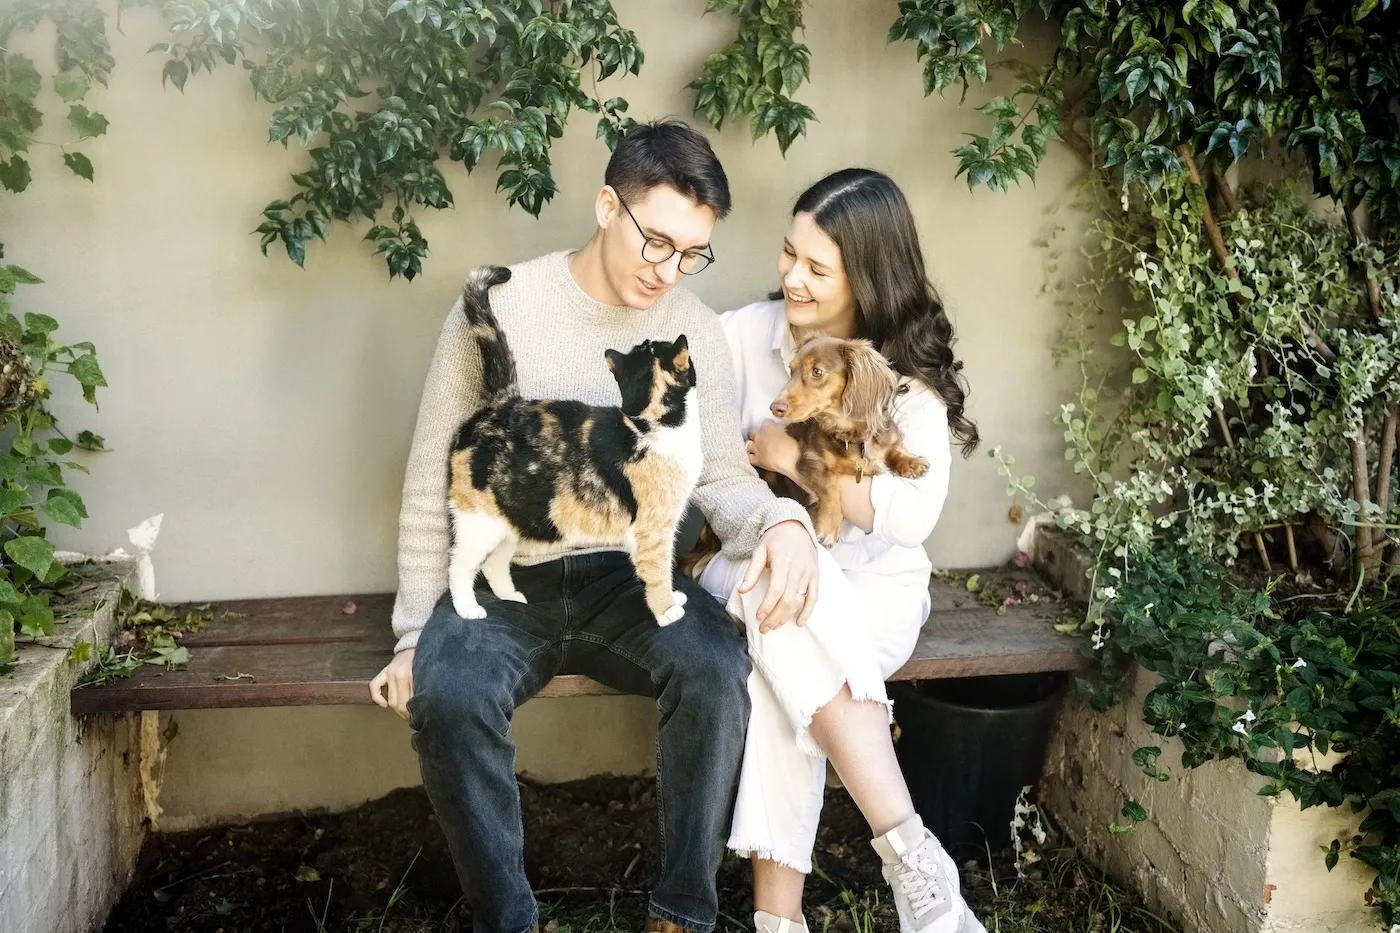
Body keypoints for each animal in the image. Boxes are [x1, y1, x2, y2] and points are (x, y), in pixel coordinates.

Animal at [445, 261, 697, 624]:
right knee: (460, 566)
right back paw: (468, 609)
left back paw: (512, 597)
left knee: (494, 564)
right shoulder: (654, 529)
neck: (649, 420)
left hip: (515, 518)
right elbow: (658, 571)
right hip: (479, 523)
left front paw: (673, 599)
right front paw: (667, 611)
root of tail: (501, 402)